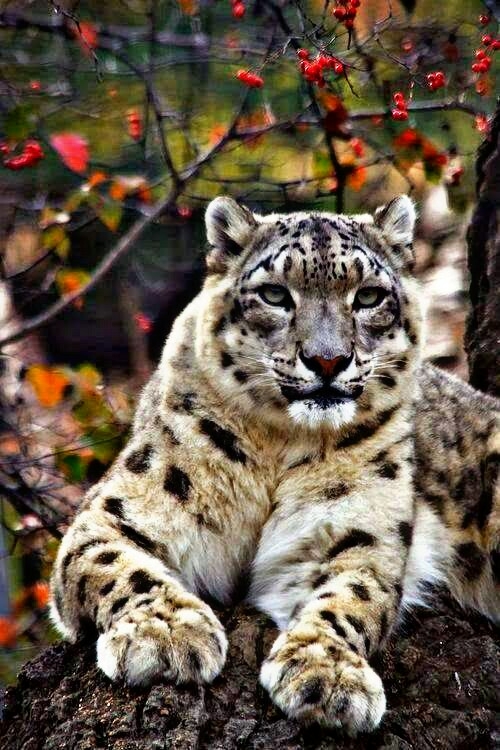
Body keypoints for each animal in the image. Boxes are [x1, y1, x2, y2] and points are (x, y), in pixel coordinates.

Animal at [50, 195, 499, 735]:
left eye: (369, 296)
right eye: (274, 294)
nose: (327, 360)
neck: (278, 447)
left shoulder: (357, 532)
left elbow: (352, 595)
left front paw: (329, 674)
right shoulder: (117, 510)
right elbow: (116, 563)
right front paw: (166, 635)